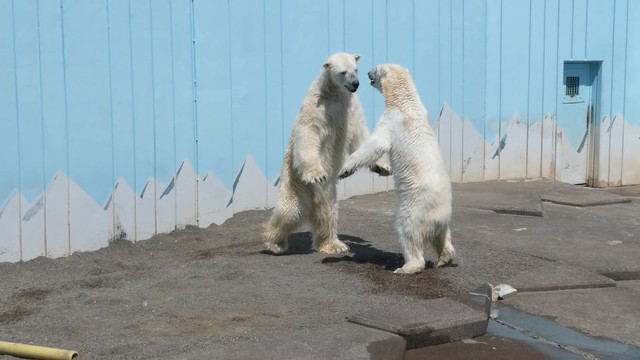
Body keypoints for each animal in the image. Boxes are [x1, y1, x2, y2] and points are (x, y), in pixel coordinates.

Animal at [264, 54, 392, 256]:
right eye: (343, 72)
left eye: (356, 69)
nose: (355, 84)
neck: (335, 94)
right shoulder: (317, 106)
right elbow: (308, 132)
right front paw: (317, 174)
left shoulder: (351, 107)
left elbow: (360, 136)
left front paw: (382, 167)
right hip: (295, 178)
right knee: (292, 210)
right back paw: (274, 242)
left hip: (327, 189)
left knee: (327, 208)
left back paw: (333, 244)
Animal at [340, 63, 456, 274]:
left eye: (376, 68)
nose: (367, 73)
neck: (405, 100)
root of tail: (439, 216)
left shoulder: (392, 121)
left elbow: (376, 144)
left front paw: (345, 169)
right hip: (442, 222)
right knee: (443, 237)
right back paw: (444, 258)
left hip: (415, 207)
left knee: (407, 231)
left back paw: (407, 267)